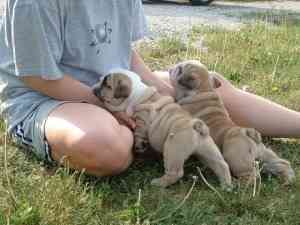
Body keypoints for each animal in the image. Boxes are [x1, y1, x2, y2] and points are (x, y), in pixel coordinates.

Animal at [92, 68, 233, 188]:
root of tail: (197, 128)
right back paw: (226, 186)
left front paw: (139, 145)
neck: (135, 93)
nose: (95, 87)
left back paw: (159, 183)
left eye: (107, 85)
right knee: (221, 164)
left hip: (173, 149)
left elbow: (139, 132)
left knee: (176, 173)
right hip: (208, 149)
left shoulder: (142, 118)